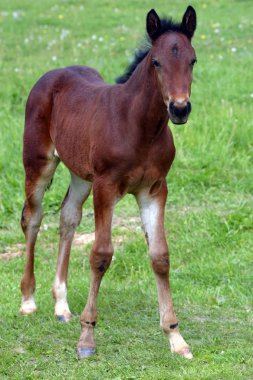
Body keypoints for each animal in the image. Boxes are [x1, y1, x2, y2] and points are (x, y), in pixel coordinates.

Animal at [20, 6, 198, 360]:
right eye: (156, 62)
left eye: (193, 60)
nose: (180, 108)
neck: (139, 127)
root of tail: (52, 74)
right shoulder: (106, 187)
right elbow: (101, 255)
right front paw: (86, 337)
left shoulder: (154, 190)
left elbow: (160, 256)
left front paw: (176, 337)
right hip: (39, 164)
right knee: (32, 218)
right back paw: (28, 301)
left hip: (80, 174)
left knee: (68, 216)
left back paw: (61, 305)